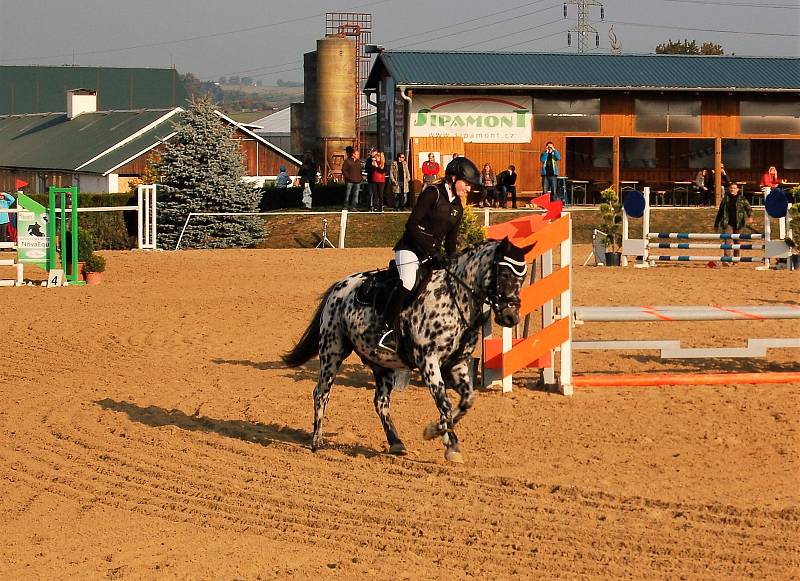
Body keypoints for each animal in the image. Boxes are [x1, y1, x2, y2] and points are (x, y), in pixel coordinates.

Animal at [284, 237, 536, 462]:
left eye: (522, 277)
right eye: (504, 274)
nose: (511, 317)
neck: (455, 299)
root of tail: (338, 287)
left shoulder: (458, 364)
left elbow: (466, 401)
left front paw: (436, 432)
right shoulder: (429, 361)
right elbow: (444, 402)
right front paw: (450, 445)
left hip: (381, 362)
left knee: (381, 402)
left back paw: (396, 442)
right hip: (332, 351)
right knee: (321, 393)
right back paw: (317, 441)